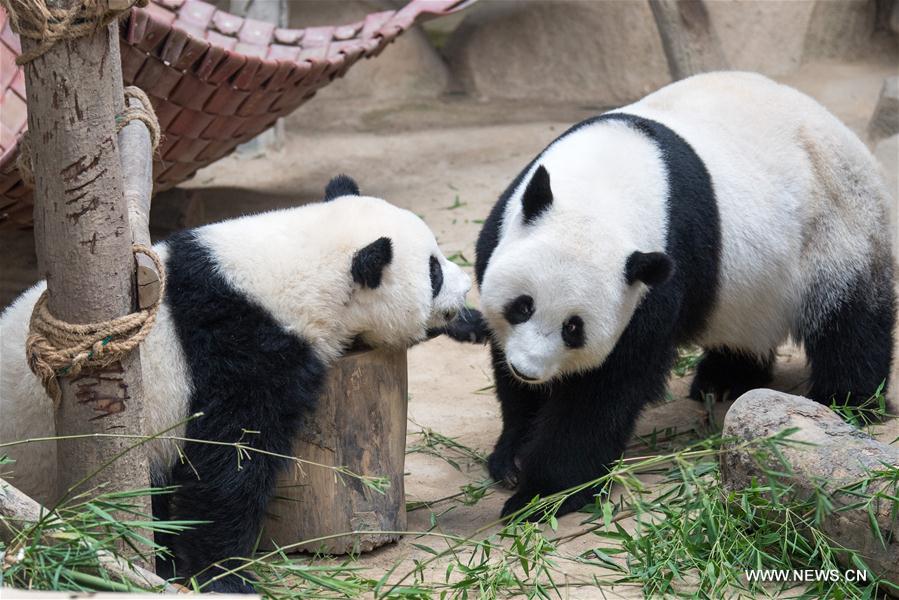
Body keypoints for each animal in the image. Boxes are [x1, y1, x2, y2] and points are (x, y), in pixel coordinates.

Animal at [469, 72, 896, 519]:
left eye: (574, 328)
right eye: (523, 306)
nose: (528, 370)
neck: (602, 190)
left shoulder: (657, 279)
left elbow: (605, 390)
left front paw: (543, 494)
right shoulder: (503, 228)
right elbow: (512, 375)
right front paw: (513, 458)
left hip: (837, 223)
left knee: (849, 320)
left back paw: (846, 401)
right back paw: (724, 379)